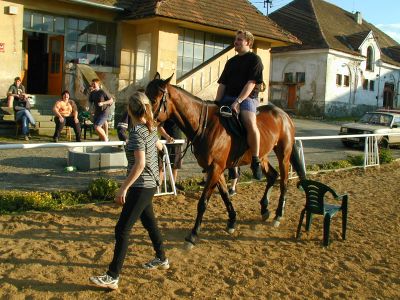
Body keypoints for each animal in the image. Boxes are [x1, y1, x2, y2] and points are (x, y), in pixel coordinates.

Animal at [147, 73, 306, 248]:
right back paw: (265, 210)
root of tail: (283, 115)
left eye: (153, 100)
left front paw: (193, 236)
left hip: (283, 154)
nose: (143, 123)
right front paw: (232, 221)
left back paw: (278, 215)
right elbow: (224, 195)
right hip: (262, 157)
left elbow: (203, 202)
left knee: (284, 181)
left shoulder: (216, 168)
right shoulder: (215, 169)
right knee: (272, 176)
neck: (206, 125)